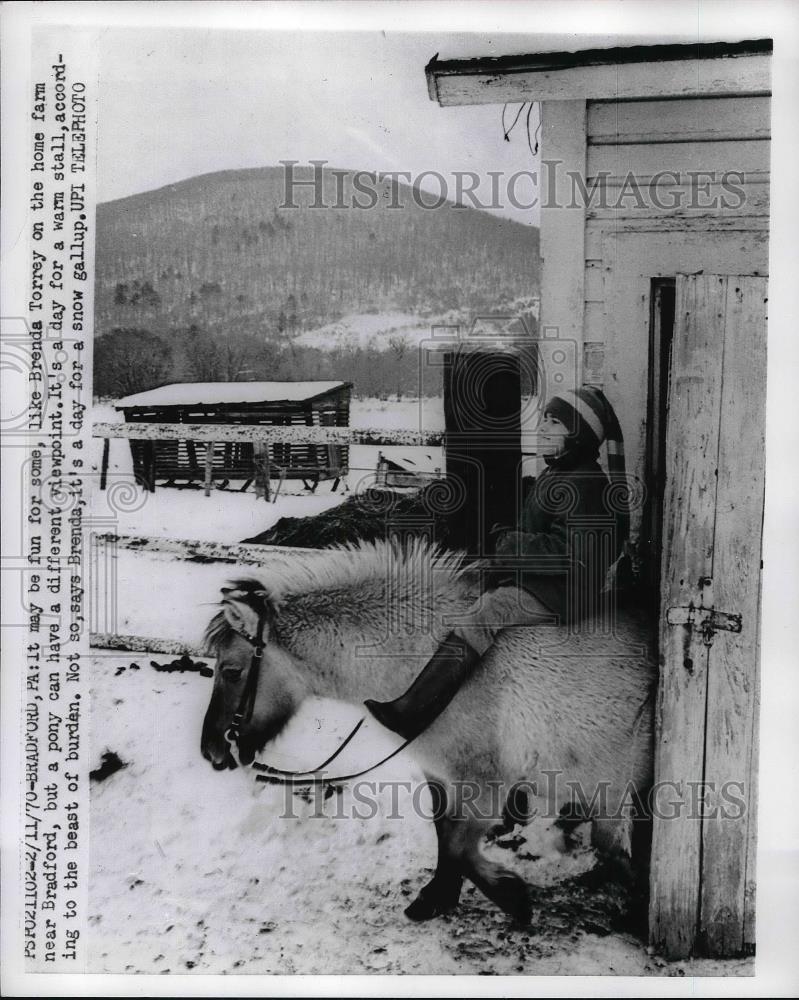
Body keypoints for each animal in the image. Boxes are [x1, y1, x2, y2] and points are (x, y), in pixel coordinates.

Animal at [200, 540, 656, 920]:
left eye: (232, 671)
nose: (211, 751)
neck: (426, 664)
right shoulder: (439, 775)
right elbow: (444, 837)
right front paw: (439, 897)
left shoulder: (485, 785)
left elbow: (457, 844)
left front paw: (510, 895)